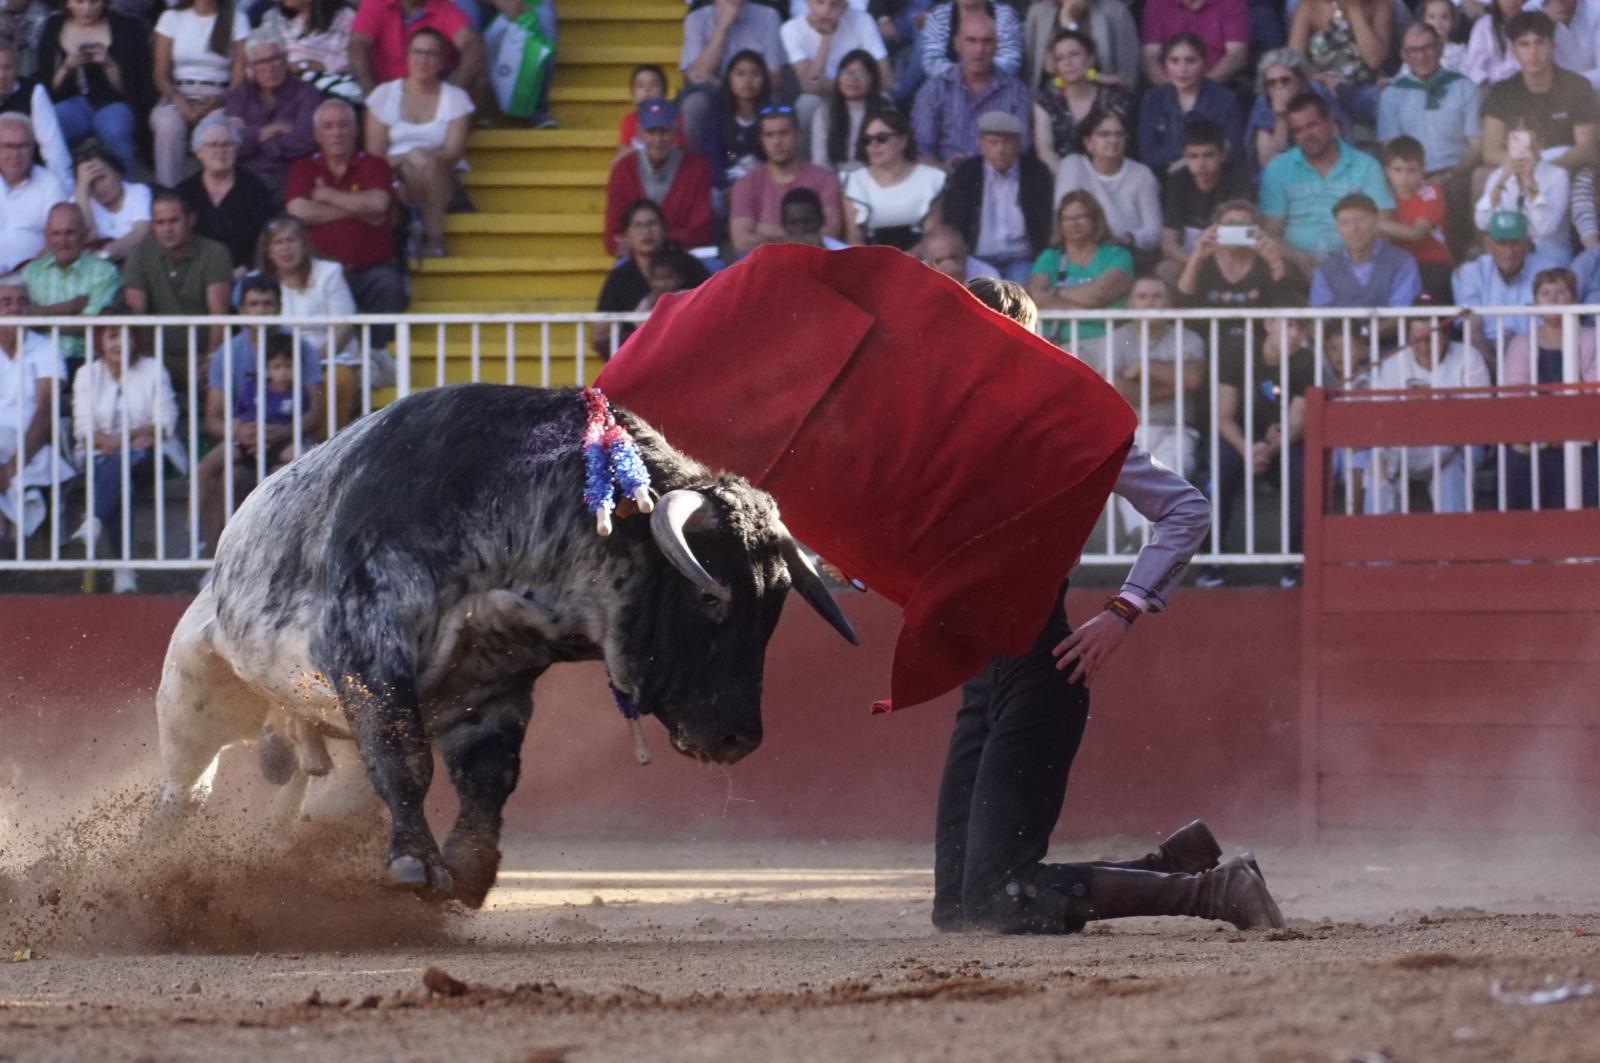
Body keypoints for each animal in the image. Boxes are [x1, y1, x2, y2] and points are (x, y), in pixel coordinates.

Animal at [159, 385, 864, 909]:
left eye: (772, 611)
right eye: (711, 601)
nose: (737, 737)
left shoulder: (495, 689)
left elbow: (489, 777)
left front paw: (468, 870)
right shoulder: (370, 656)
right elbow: (405, 759)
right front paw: (417, 865)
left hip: (324, 747)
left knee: (317, 804)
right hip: (197, 685)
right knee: (187, 779)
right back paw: (158, 855)